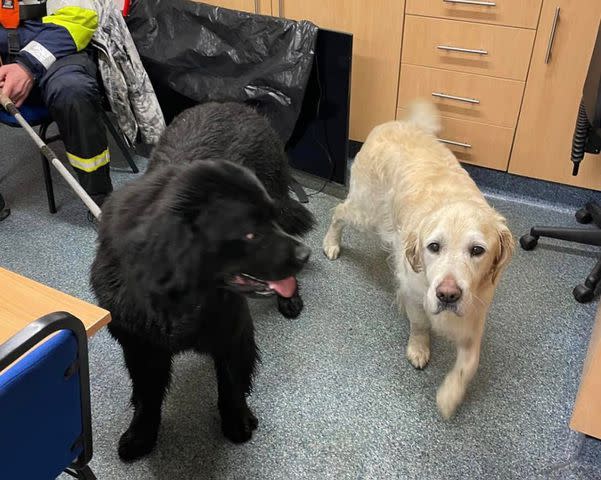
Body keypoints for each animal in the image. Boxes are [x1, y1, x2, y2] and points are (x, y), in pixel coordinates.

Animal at [90, 102, 314, 462]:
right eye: (249, 234)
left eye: (264, 224)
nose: (305, 255)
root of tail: (236, 104)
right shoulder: (139, 343)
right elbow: (147, 395)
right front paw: (141, 435)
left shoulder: (233, 330)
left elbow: (232, 382)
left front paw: (237, 420)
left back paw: (290, 298)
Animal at [322, 100, 512, 416]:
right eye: (433, 246)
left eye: (477, 250)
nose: (448, 294)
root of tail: (393, 124)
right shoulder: (413, 292)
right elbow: (420, 324)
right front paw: (419, 349)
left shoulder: (475, 308)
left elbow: (469, 363)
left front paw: (450, 395)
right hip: (367, 212)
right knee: (338, 212)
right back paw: (331, 243)